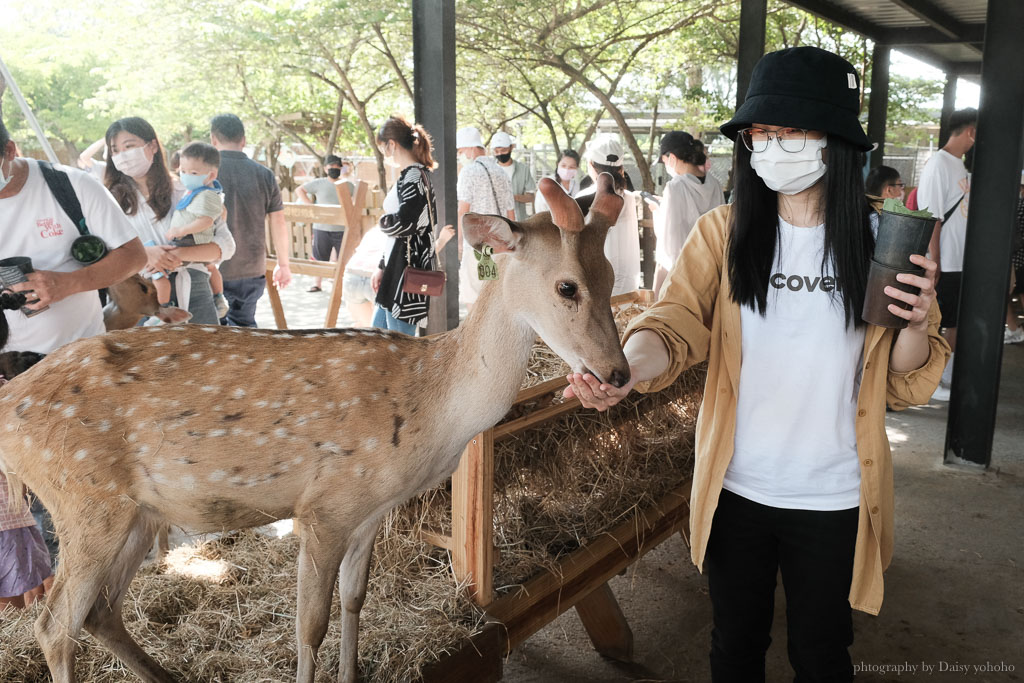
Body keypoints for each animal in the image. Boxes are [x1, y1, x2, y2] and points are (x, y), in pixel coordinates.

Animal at [0, 175, 626, 683]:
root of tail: (8, 404)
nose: (617, 373)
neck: (430, 410)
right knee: (54, 625)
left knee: (100, 611)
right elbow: (310, 627)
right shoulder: (323, 507)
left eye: (612, 273)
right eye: (567, 286)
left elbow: (354, 601)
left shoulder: (369, 511)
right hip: (83, 498)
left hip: (136, 512)